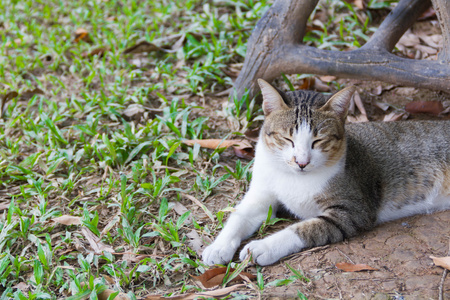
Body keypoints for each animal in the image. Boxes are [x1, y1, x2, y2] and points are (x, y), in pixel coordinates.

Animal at [202, 78, 450, 266]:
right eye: (287, 139)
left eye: (318, 141)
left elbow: (304, 228)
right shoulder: (260, 194)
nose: (301, 162)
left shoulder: (353, 211)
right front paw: (218, 247)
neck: (294, 177)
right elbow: (238, 216)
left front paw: (264, 246)